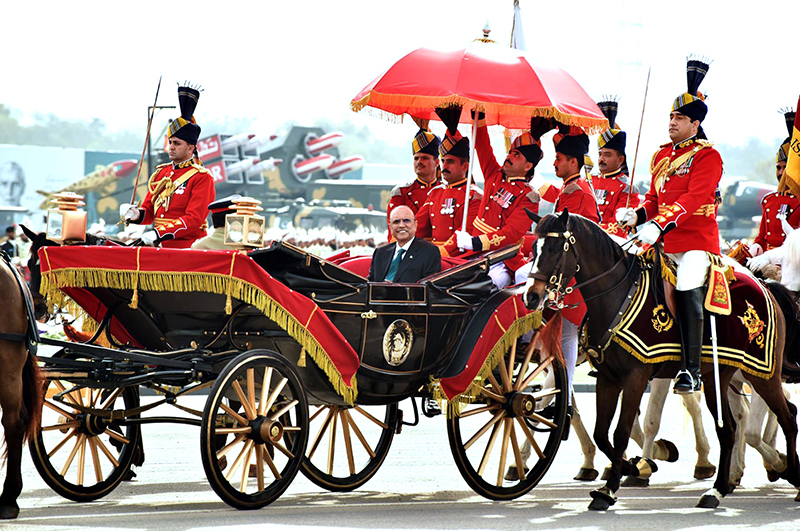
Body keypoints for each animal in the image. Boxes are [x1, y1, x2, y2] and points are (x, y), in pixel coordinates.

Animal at [520, 211, 800, 512]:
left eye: (553, 249)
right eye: (533, 248)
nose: (531, 296)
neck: (618, 296)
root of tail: (766, 287)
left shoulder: (636, 377)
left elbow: (621, 431)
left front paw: (611, 488)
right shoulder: (608, 378)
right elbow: (601, 432)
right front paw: (632, 467)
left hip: (762, 374)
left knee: (786, 418)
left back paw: (788, 474)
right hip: (719, 378)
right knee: (731, 428)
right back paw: (719, 489)